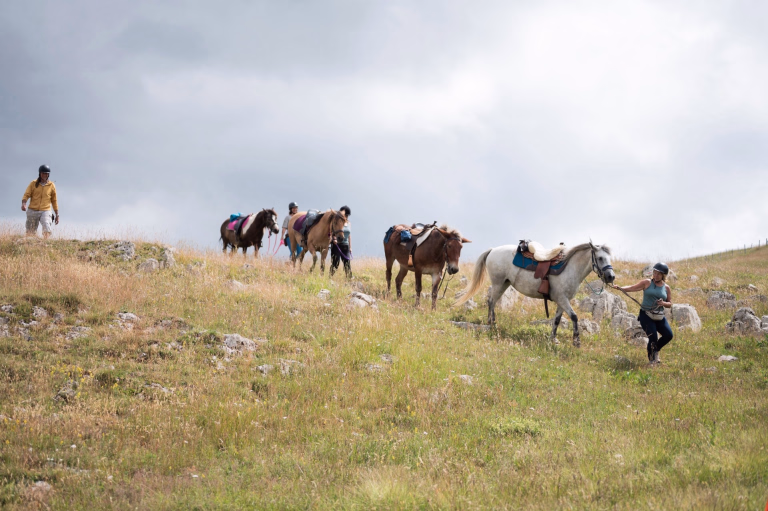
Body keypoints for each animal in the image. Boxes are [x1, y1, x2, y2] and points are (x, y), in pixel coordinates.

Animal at [455, 242, 615, 347]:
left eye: (609, 258)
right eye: (600, 258)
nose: (611, 277)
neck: (570, 268)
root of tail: (493, 250)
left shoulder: (562, 301)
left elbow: (557, 320)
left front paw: (553, 339)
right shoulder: (562, 299)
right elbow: (575, 317)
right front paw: (576, 341)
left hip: (504, 284)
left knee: (492, 302)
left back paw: (492, 323)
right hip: (498, 283)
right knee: (491, 302)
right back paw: (492, 324)